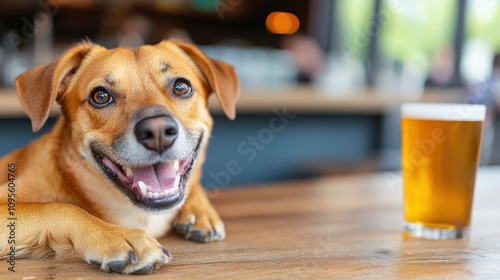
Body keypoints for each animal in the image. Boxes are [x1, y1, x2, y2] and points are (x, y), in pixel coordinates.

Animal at [0, 39, 240, 274]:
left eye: (181, 86)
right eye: (100, 96)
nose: (158, 132)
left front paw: (201, 212)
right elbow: (58, 207)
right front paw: (116, 236)